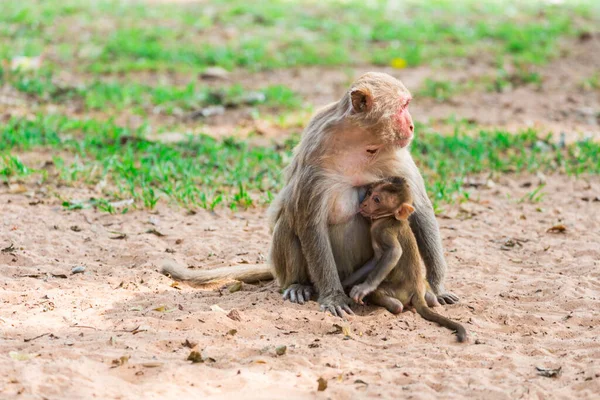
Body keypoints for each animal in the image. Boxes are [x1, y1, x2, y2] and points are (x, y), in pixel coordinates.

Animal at [162, 71, 458, 316]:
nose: (412, 126)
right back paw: (298, 285)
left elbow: (420, 209)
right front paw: (333, 297)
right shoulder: (317, 157)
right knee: (289, 223)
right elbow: (310, 223)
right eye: (403, 107)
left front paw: (437, 287)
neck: (360, 143)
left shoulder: (395, 155)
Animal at [344, 177, 466, 342]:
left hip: (399, 291)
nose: (363, 204)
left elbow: (394, 252)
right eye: (369, 193)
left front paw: (364, 287)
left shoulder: (383, 231)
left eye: (377, 199)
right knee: (432, 300)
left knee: (394, 303)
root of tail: (417, 291)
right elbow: (375, 261)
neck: (389, 217)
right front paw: (345, 282)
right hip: (425, 288)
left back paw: (390, 303)